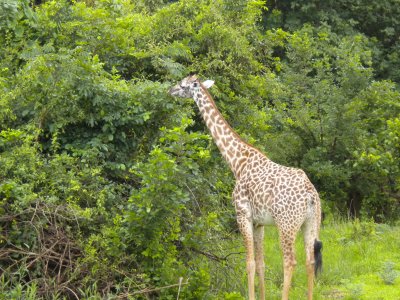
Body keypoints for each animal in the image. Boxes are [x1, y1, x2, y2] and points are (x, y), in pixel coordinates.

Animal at [168, 74, 322, 298]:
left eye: (182, 84)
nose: (169, 90)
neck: (237, 162)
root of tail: (311, 195)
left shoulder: (242, 215)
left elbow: (249, 263)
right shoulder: (259, 223)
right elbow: (261, 264)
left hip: (286, 224)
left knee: (290, 262)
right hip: (311, 222)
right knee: (310, 261)